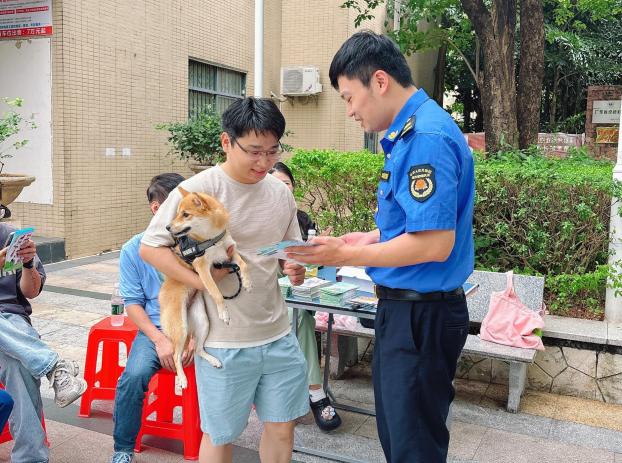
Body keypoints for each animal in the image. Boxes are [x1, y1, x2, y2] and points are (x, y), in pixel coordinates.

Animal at [159, 187, 251, 388]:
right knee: (176, 355)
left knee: (198, 350)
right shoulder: (202, 267)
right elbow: (216, 293)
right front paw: (224, 312)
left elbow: (244, 264)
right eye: (177, 213)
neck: (212, 239)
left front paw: (247, 282)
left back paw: (213, 360)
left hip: (202, 322)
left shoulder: (229, 253)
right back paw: (182, 379)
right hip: (181, 326)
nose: (167, 227)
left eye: (185, 214)